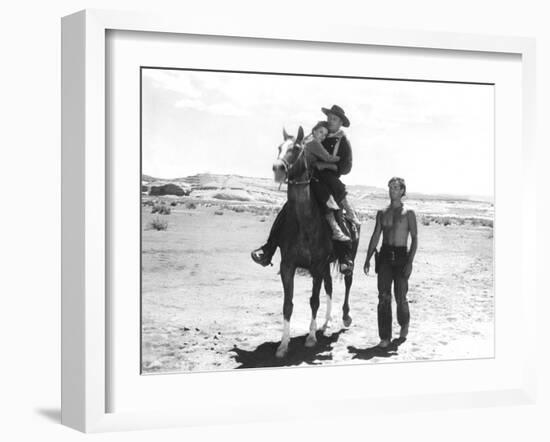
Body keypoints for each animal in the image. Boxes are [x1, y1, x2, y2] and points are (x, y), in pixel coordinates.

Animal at [272, 126, 362, 358]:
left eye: (296, 148)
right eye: (279, 147)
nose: (278, 168)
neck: (305, 222)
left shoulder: (317, 265)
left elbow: (314, 301)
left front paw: (311, 338)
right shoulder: (288, 266)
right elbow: (287, 305)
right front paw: (283, 345)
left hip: (348, 259)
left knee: (347, 283)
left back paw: (345, 317)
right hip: (327, 266)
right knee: (329, 287)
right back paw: (325, 323)